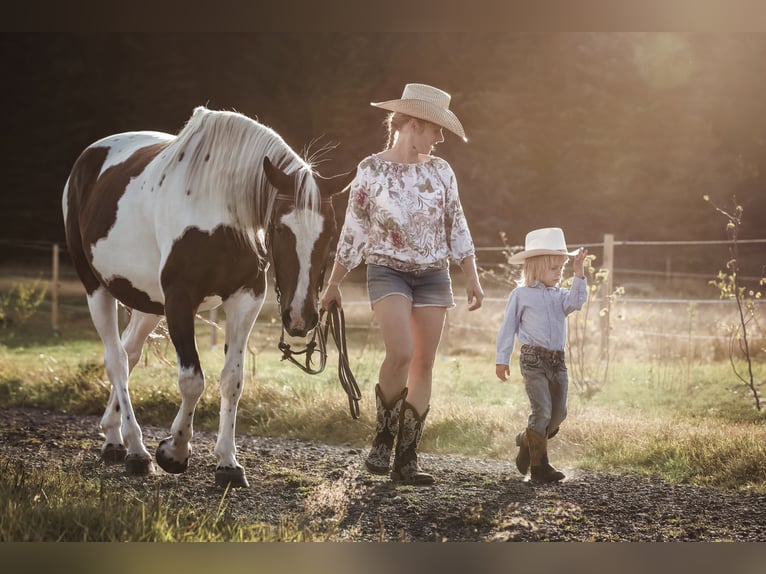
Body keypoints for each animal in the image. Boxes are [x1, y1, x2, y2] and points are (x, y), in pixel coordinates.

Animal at [63, 106, 356, 488]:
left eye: (332, 232)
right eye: (279, 228)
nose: (300, 317)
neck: (220, 209)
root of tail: (89, 157)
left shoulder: (246, 299)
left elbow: (232, 381)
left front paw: (228, 463)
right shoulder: (179, 300)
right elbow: (192, 381)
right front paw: (173, 452)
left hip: (147, 304)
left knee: (130, 353)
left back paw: (114, 438)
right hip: (97, 289)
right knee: (117, 361)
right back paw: (137, 450)